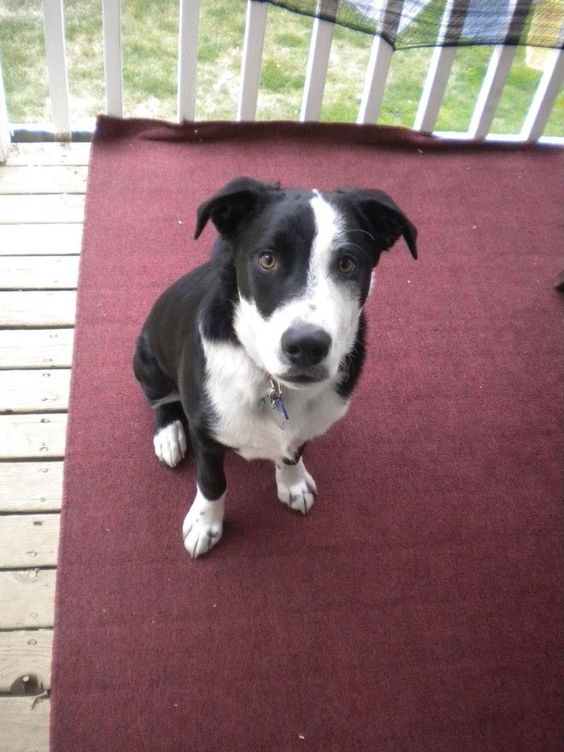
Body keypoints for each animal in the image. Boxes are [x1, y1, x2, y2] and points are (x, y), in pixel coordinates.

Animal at [132, 175, 414, 552]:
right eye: (267, 259)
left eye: (347, 264)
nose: (307, 346)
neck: (271, 384)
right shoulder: (206, 433)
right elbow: (211, 481)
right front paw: (205, 524)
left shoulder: (302, 427)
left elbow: (292, 451)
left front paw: (292, 483)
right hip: (147, 361)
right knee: (162, 401)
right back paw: (168, 435)